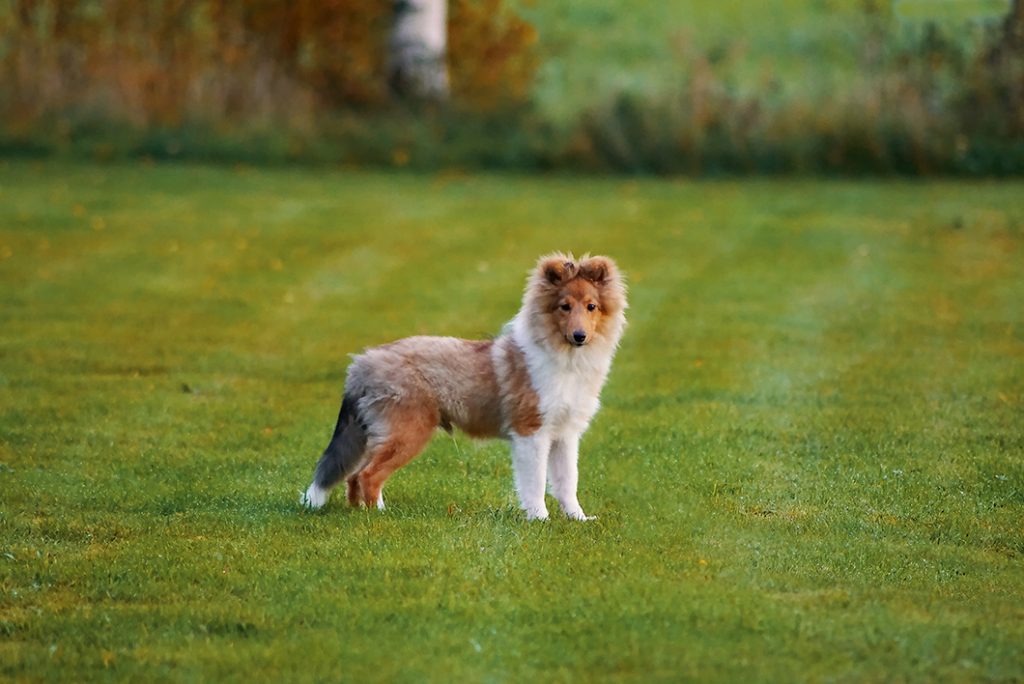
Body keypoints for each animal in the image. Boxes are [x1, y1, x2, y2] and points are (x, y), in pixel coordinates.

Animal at [299, 253, 626, 520]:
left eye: (592, 307)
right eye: (564, 307)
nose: (579, 336)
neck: (565, 359)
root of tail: (361, 364)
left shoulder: (565, 434)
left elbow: (567, 482)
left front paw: (578, 519)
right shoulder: (531, 432)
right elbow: (534, 481)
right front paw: (539, 519)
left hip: (379, 432)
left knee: (354, 475)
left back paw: (357, 513)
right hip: (408, 431)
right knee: (368, 475)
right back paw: (380, 514)